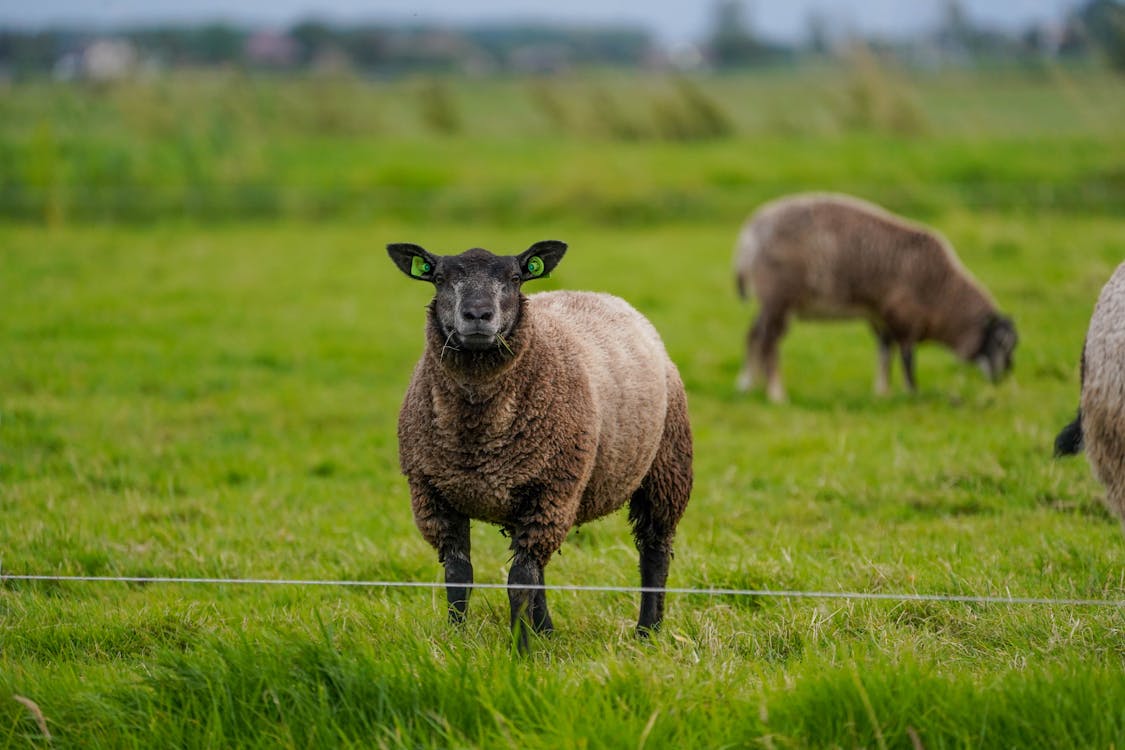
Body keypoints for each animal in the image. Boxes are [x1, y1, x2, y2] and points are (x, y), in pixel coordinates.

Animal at [389, 240, 693, 652]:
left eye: (515, 278)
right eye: (438, 278)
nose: (478, 315)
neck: (476, 431)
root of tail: (596, 295)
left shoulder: (552, 488)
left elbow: (518, 582)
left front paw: (519, 652)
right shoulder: (433, 495)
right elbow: (460, 576)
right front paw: (457, 642)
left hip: (664, 468)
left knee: (655, 551)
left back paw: (647, 631)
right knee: (539, 567)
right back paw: (546, 629)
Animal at [729, 195, 1021, 404]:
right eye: (1000, 341)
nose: (1007, 372)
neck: (944, 292)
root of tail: (748, 237)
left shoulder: (882, 317)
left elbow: (884, 354)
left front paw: (883, 393)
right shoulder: (905, 317)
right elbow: (907, 359)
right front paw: (911, 393)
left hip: (770, 302)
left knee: (753, 334)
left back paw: (747, 384)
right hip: (779, 297)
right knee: (768, 343)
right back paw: (776, 394)